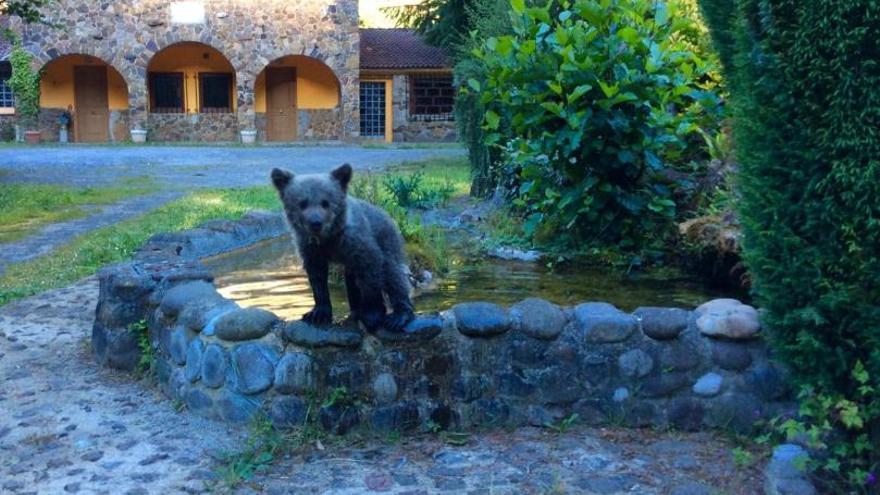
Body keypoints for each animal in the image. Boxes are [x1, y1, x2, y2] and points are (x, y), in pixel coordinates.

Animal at [271, 163, 415, 333]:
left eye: (325, 202)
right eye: (302, 203)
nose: (315, 223)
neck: (328, 238)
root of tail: (388, 215)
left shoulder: (357, 243)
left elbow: (371, 275)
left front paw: (372, 315)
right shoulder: (310, 248)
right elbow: (317, 279)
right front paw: (317, 313)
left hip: (387, 240)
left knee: (393, 274)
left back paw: (398, 316)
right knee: (352, 281)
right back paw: (355, 309)